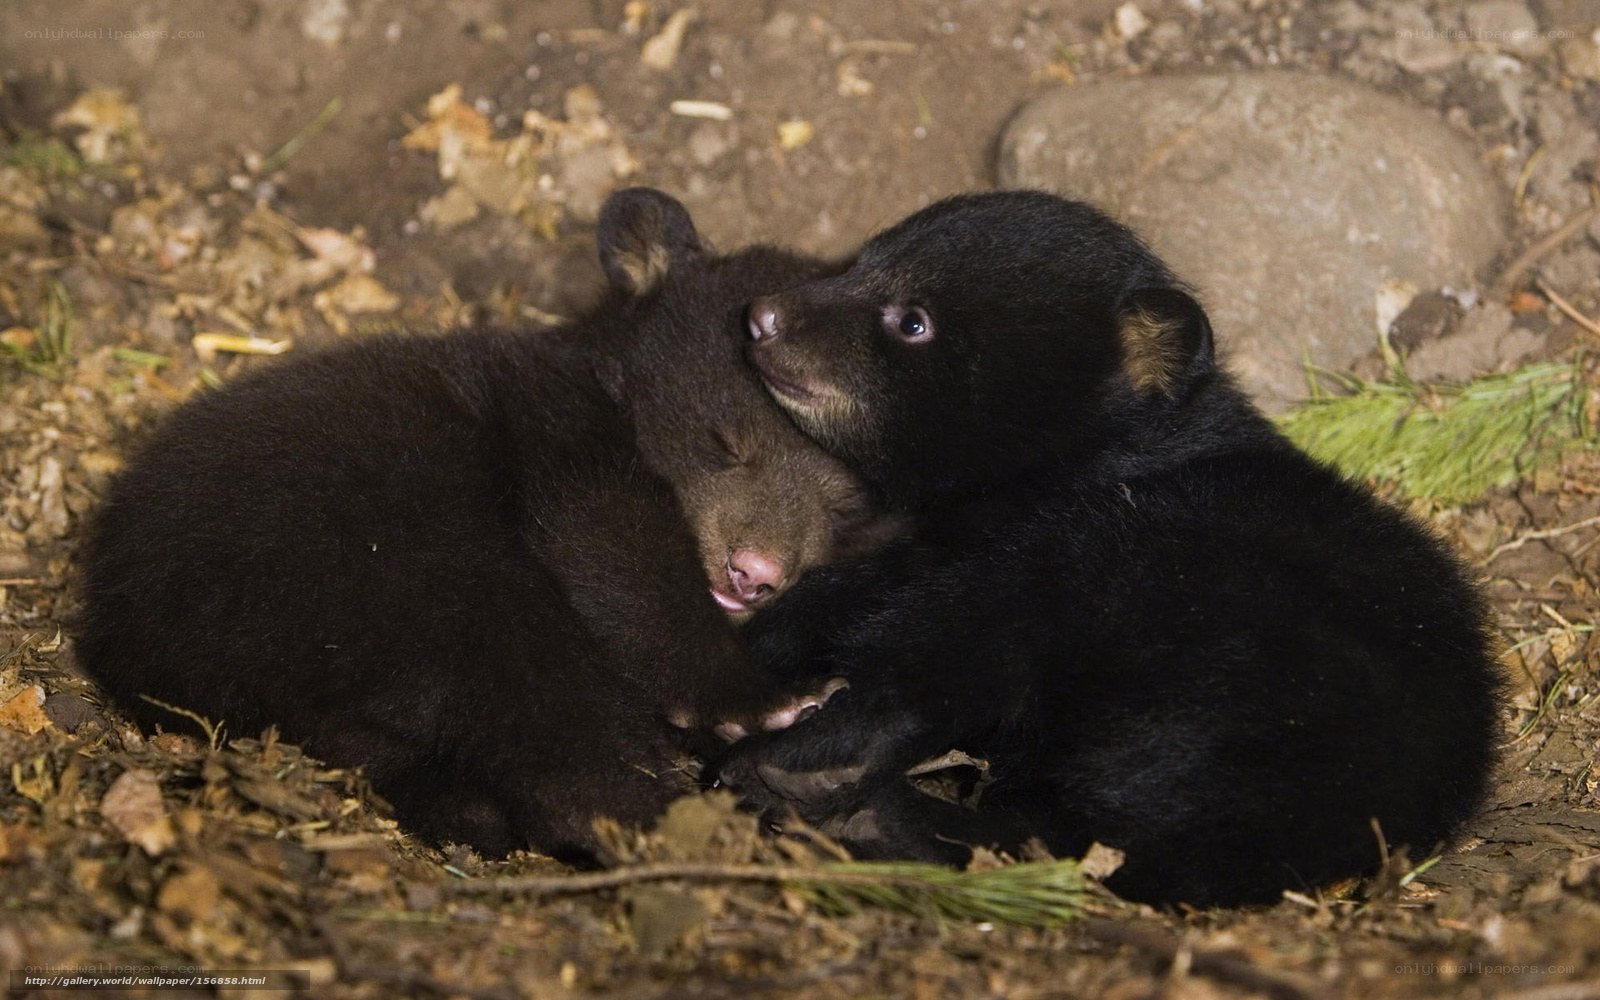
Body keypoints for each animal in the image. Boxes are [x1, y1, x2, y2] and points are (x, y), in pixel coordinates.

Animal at [74, 188, 890, 861]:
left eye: (845, 508)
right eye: (724, 442)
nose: (754, 574)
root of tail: (117, 628)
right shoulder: (555, 433)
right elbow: (615, 552)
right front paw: (763, 700)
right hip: (356, 567)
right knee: (526, 684)